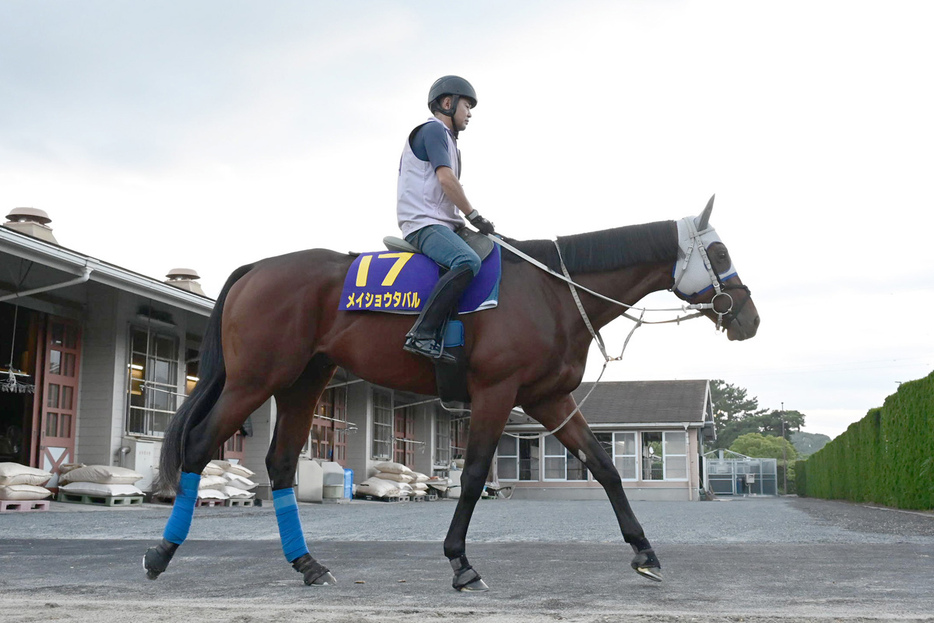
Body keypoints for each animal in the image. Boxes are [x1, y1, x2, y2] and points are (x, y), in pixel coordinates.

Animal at [144, 197, 760, 592]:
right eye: (721, 253)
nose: (748, 317)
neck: (552, 290)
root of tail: (257, 268)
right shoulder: (497, 392)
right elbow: (474, 473)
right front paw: (460, 563)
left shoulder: (549, 400)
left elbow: (605, 467)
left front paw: (644, 551)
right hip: (255, 381)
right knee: (198, 445)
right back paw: (161, 552)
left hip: (303, 382)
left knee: (278, 464)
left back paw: (308, 564)